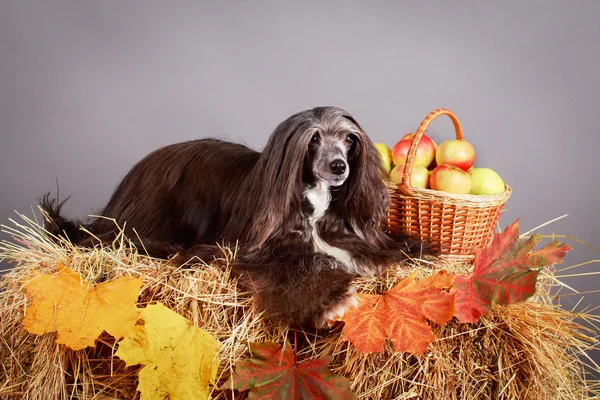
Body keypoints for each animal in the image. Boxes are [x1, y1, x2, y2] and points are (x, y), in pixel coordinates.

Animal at [41, 106, 426, 328]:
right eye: (314, 138)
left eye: (349, 139)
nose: (339, 167)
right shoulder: (246, 250)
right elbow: (293, 267)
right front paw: (331, 299)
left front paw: (416, 250)